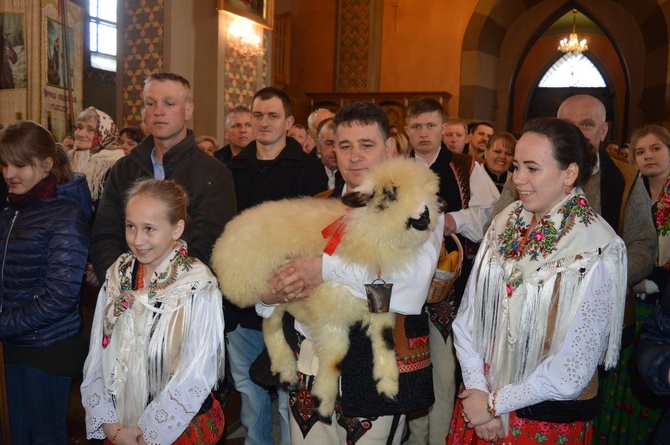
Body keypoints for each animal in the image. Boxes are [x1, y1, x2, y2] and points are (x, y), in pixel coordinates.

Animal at [210, 157, 440, 416]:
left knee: (270, 323)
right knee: (269, 323)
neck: (365, 232)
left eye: (431, 193)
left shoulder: (380, 304)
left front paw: (388, 386)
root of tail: (227, 234)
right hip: (267, 287)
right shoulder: (330, 311)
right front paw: (323, 401)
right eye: (391, 193)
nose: (426, 213)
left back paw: (286, 372)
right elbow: (335, 357)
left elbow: (386, 340)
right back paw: (287, 368)